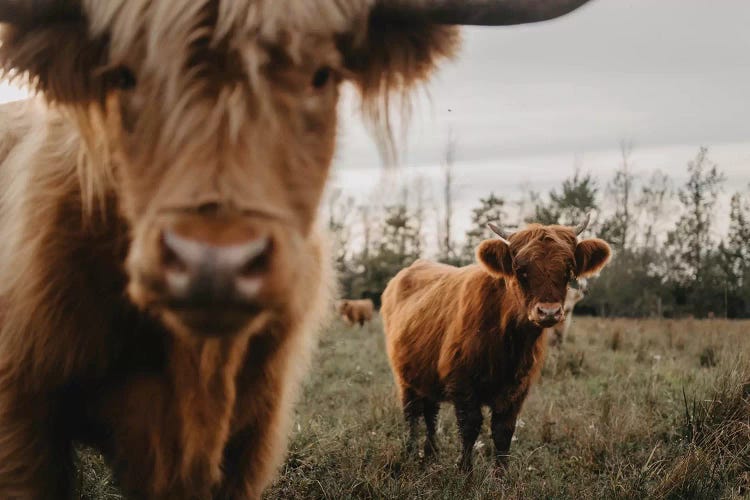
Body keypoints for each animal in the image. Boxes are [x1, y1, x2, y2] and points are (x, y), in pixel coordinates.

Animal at [0, 0, 596, 496]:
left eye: (568, 269)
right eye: (520, 269)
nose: (550, 313)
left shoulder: (513, 391)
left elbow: (503, 436)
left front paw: (495, 480)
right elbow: (471, 429)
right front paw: (466, 477)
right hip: (408, 372)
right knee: (419, 414)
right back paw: (420, 457)